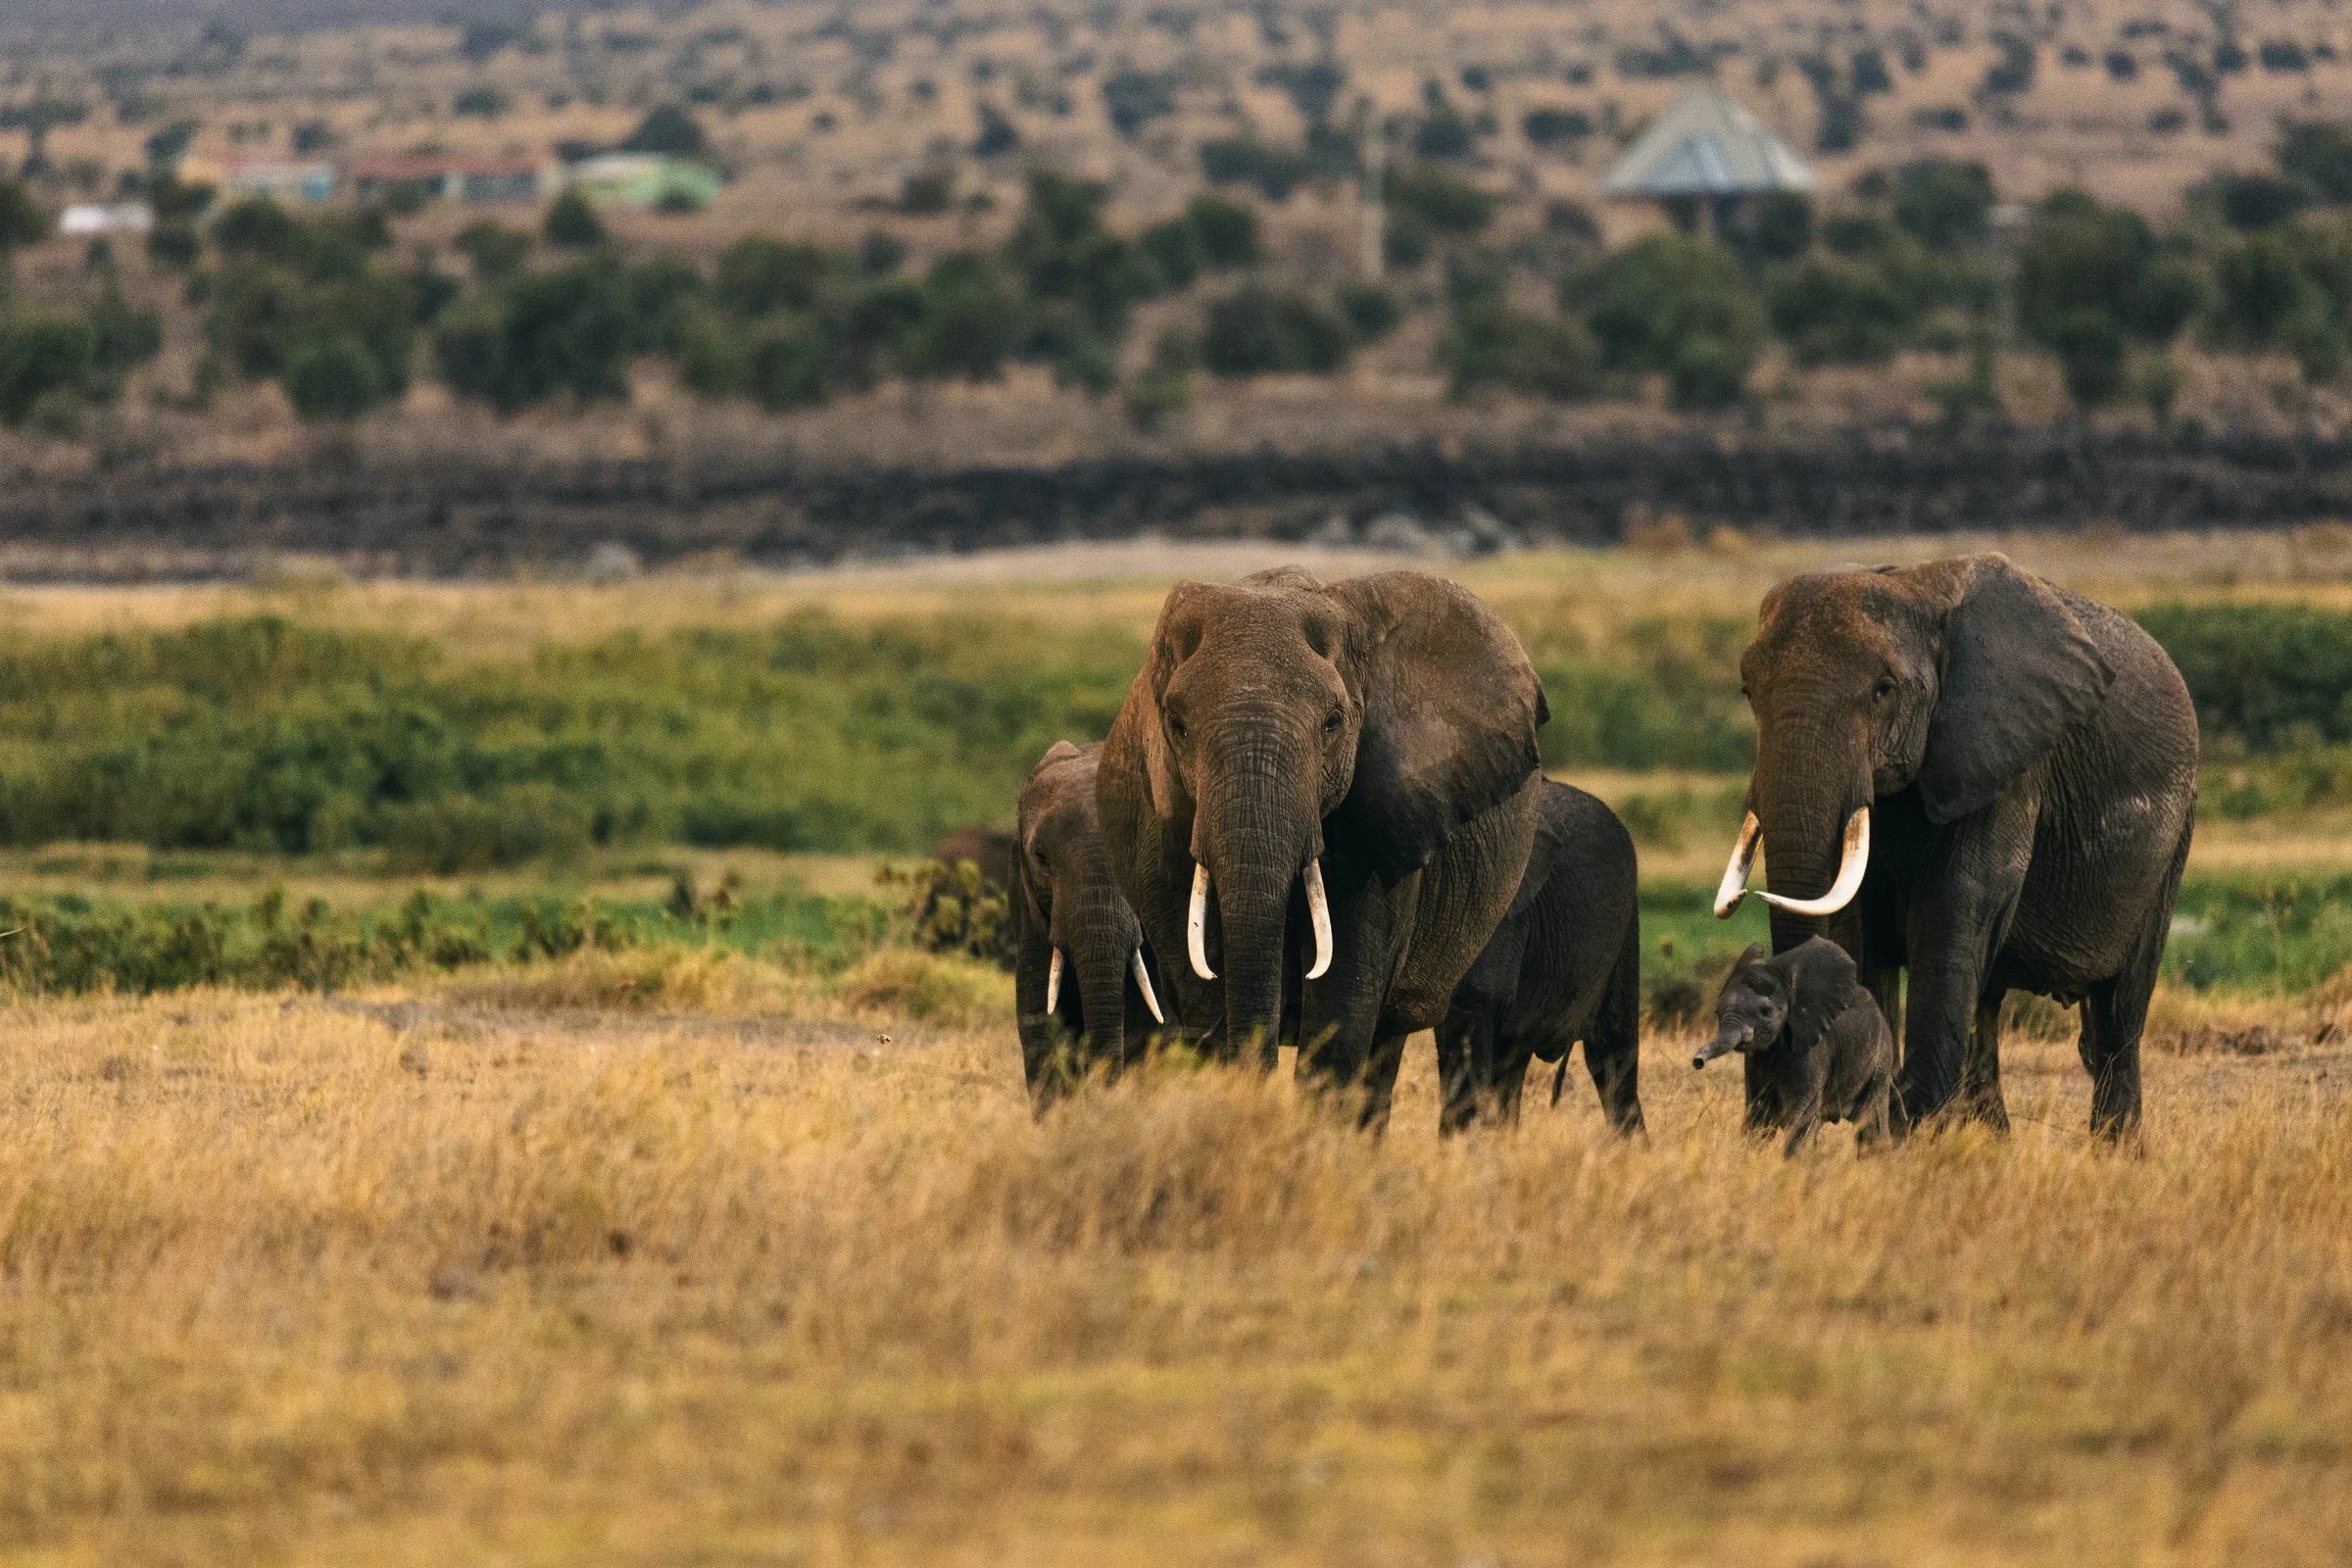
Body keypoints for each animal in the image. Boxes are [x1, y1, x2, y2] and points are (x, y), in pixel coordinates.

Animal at [1096, 568, 1550, 1129]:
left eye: (1332, 723)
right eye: (1177, 726)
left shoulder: (1382, 831)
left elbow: (1342, 1005)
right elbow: (1207, 997)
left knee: (1383, 1045)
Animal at [1694, 939, 1893, 1156]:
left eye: (1765, 1011)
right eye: (1717, 1011)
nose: (1697, 1062)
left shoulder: (1811, 1050)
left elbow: (1799, 1116)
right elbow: (1758, 1115)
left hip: (1880, 1058)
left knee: (1870, 1123)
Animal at [1711, 553, 2198, 1139]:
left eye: (1883, 690)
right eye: (1746, 691)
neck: (1914, 591)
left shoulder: (2004, 763)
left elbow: (1952, 912)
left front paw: (1895, 1131)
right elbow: (1857, 934)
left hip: (2172, 843)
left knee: (2117, 1016)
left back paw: (2110, 1149)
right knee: (1989, 1002)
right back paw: (1992, 1138)